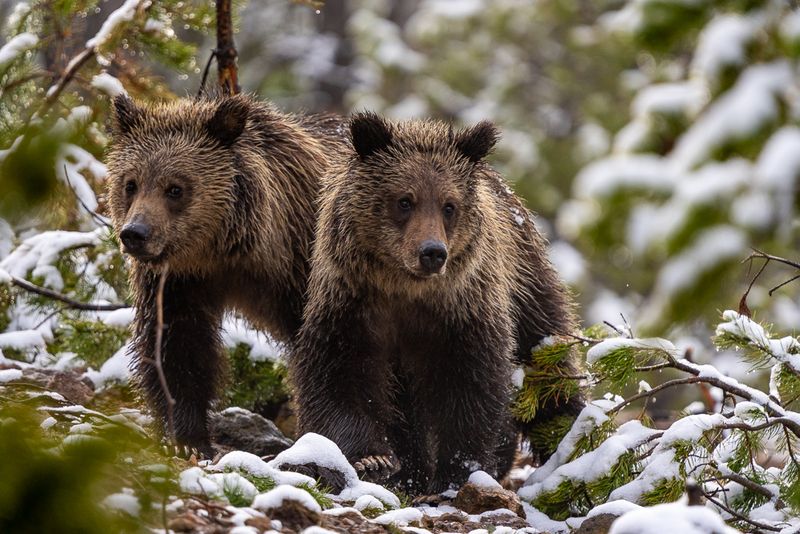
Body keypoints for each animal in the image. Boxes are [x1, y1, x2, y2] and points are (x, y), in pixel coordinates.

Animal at [105, 93, 346, 454]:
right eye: (131, 184)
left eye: (174, 188)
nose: (135, 233)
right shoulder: (179, 282)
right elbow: (179, 346)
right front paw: (187, 438)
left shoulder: (308, 265)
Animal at [289, 112, 582, 496]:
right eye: (404, 200)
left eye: (448, 205)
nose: (432, 252)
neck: (405, 291)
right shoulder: (352, 304)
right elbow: (339, 375)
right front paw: (372, 460)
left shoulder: (461, 311)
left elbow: (469, 384)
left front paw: (458, 469)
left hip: (525, 280)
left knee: (547, 358)